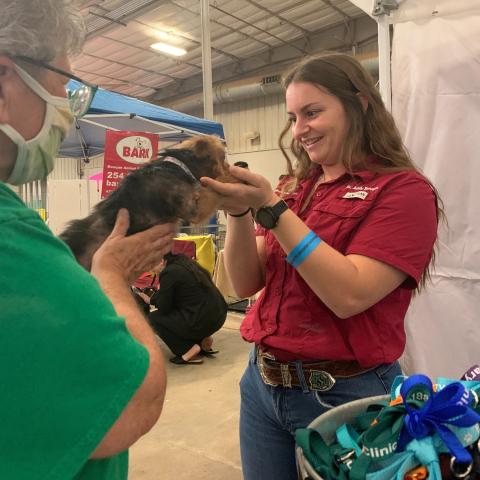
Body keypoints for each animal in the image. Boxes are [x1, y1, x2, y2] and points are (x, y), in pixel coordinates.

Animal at [61, 135, 233, 270]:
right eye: (224, 157)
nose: (231, 167)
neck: (180, 166)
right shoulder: (193, 210)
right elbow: (214, 188)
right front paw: (230, 180)